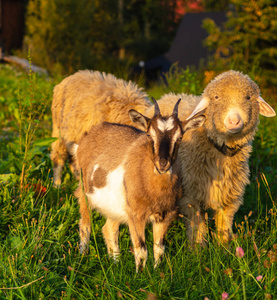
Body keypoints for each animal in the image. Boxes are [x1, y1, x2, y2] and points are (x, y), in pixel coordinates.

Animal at [72, 99, 204, 270]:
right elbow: (141, 250)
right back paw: (82, 257)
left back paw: (116, 264)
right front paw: (140, 274)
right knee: (85, 226)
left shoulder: (164, 214)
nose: (162, 164)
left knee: (109, 229)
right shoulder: (136, 214)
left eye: (180, 137)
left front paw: (156, 272)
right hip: (84, 193)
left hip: (115, 207)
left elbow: (159, 248)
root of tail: (85, 139)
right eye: (149, 135)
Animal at [144, 71, 274, 246]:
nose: (234, 121)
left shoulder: (229, 196)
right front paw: (198, 248)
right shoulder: (190, 194)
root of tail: (168, 95)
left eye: (248, 97)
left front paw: (224, 246)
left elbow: (224, 224)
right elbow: (196, 225)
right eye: (216, 97)